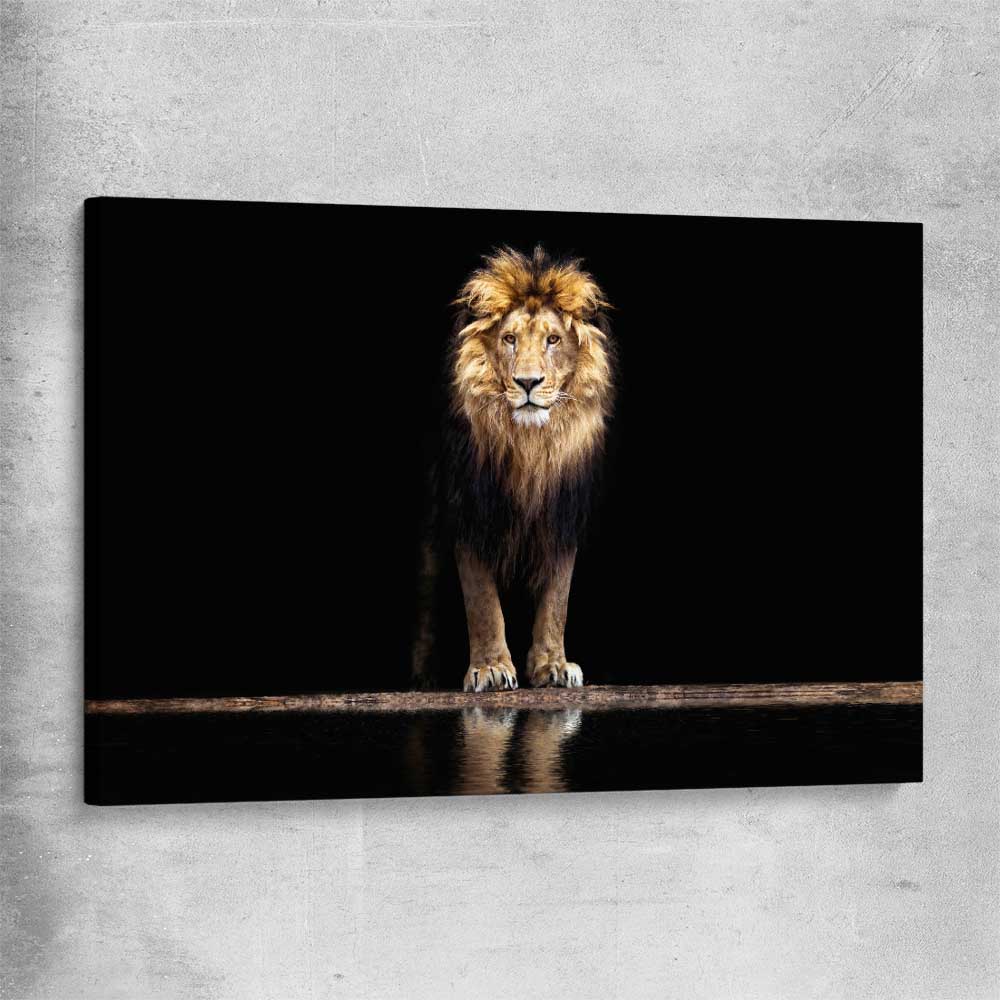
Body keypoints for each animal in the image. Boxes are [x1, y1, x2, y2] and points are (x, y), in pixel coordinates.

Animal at [412, 245, 615, 692]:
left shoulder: (561, 515)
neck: (530, 447)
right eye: (509, 339)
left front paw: (554, 665)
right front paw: (490, 668)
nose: (527, 382)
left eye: (553, 340)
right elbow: (483, 601)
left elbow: (557, 599)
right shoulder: (470, 510)